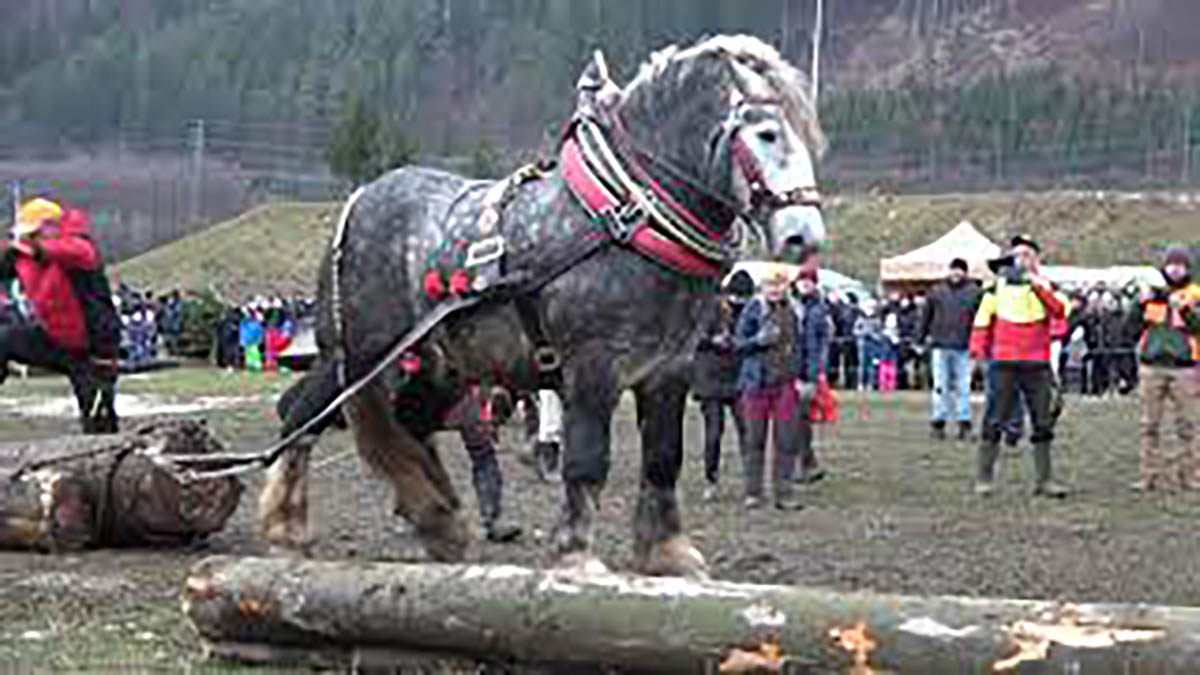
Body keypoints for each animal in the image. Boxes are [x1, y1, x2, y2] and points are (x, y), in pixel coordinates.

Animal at [260, 34, 825, 576]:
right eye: (768, 134)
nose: (804, 237)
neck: (628, 218)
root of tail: (358, 201)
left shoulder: (670, 370)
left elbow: (664, 459)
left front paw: (666, 553)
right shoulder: (594, 366)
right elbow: (587, 462)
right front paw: (576, 554)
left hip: (437, 365)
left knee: (400, 427)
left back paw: (432, 521)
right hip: (365, 355)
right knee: (305, 416)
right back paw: (287, 529)